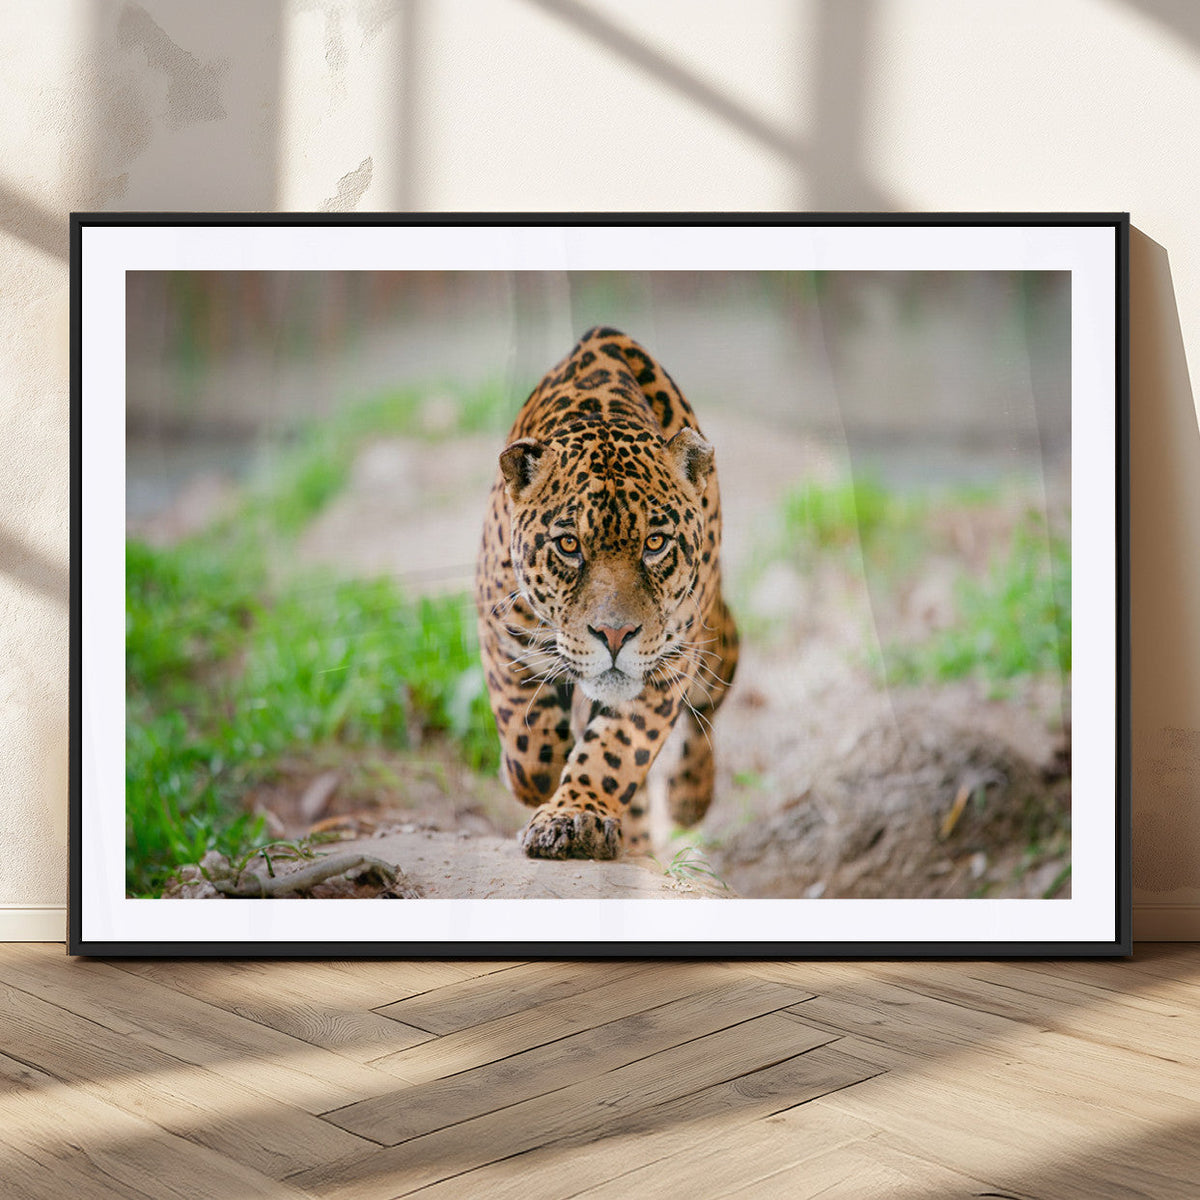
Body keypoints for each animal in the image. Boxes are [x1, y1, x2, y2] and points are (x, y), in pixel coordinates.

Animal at [475, 326, 739, 860]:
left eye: (655, 543)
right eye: (569, 545)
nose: (614, 636)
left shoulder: (667, 662)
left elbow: (615, 750)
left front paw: (574, 816)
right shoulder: (501, 630)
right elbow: (527, 742)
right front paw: (537, 781)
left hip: (713, 643)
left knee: (711, 696)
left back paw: (689, 798)